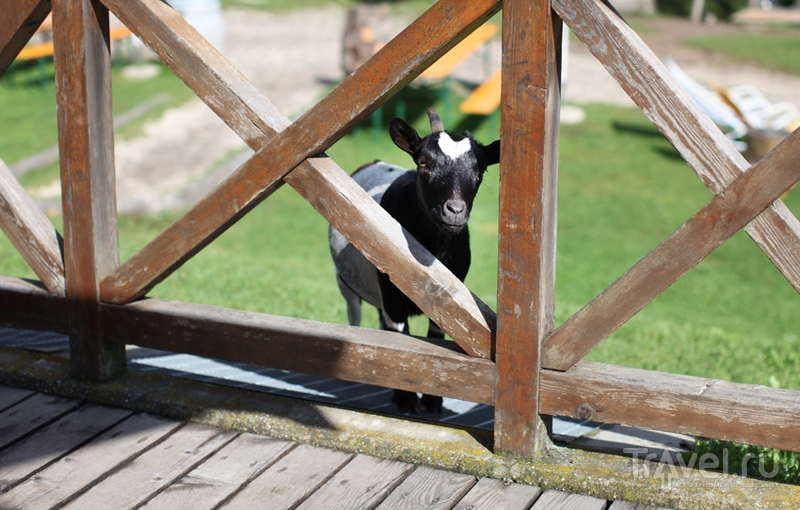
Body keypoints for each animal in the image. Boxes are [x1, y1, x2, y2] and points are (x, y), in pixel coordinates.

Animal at [328, 108, 496, 414]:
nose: (455, 210)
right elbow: (399, 335)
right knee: (354, 314)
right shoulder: (392, 297)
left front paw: (432, 401)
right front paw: (406, 400)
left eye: (480, 170)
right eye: (423, 163)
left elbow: (433, 338)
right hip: (345, 283)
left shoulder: (449, 302)